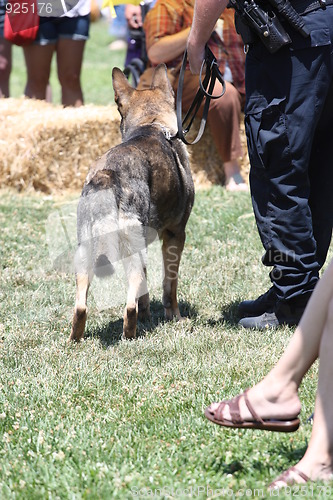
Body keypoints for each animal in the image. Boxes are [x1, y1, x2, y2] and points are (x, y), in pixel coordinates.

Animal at [70, 64, 195, 340]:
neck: (152, 124)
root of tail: (108, 175)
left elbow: (146, 291)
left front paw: (148, 314)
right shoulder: (175, 234)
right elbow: (170, 286)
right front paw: (175, 317)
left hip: (85, 250)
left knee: (81, 306)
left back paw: (76, 337)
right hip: (131, 249)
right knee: (129, 305)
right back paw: (130, 334)